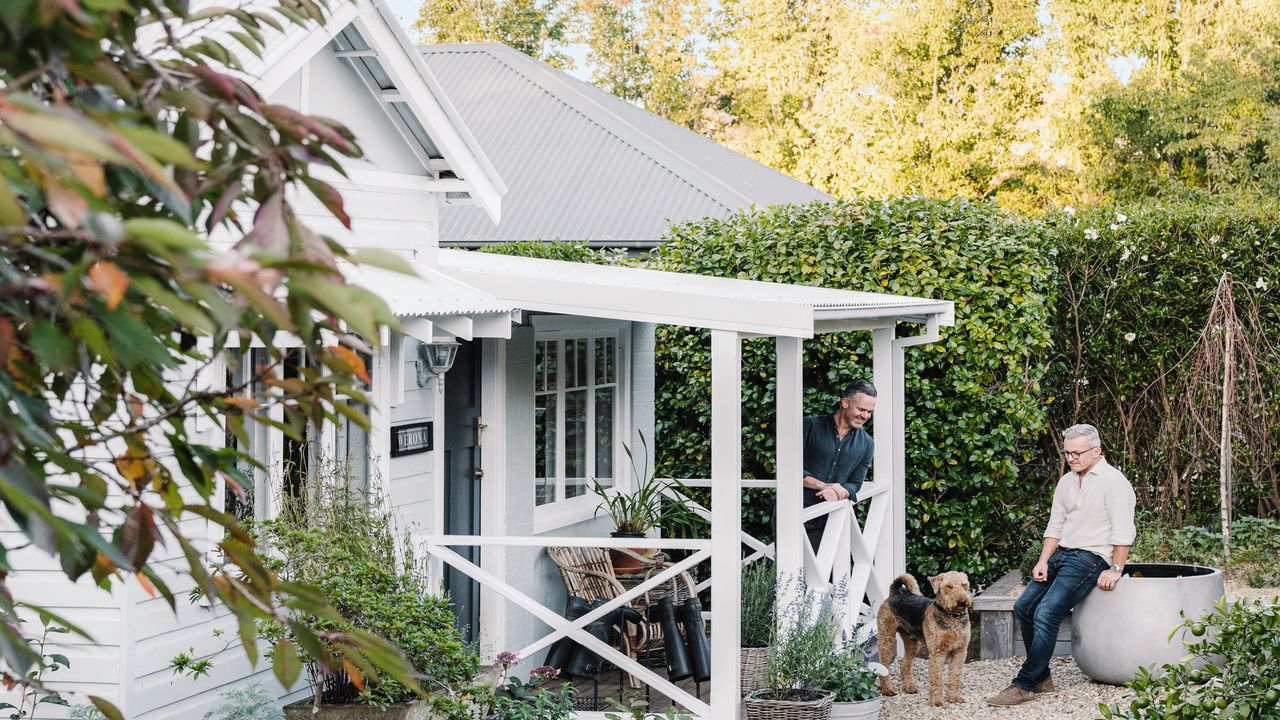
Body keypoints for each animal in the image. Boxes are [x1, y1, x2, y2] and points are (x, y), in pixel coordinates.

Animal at [875, 571, 972, 707]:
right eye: (949, 586)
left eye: (964, 585)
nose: (962, 602)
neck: (953, 618)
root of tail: (894, 594)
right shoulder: (937, 653)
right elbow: (936, 678)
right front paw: (937, 701)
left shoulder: (960, 651)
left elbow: (955, 676)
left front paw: (954, 697)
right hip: (886, 638)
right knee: (883, 666)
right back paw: (887, 690)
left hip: (912, 643)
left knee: (904, 665)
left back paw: (909, 687)